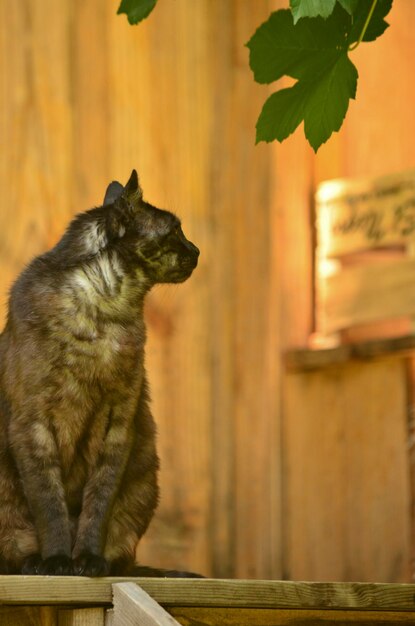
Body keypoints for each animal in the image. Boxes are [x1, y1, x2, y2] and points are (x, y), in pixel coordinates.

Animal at [0, 167, 200, 576]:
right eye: (175, 230)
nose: (197, 251)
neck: (108, 310)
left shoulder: (119, 423)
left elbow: (98, 503)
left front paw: (88, 560)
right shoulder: (32, 423)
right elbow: (49, 503)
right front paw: (58, 561)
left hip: (144, 477)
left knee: (123, 554)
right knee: (13, 552)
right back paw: (34, 563)